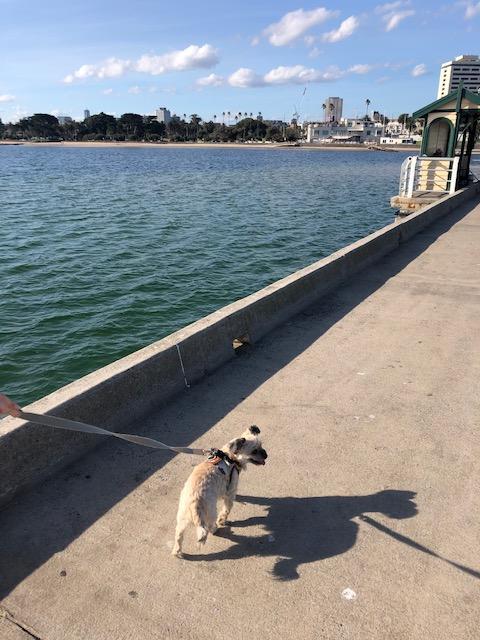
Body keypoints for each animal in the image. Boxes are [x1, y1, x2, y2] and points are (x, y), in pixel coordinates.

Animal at [172, 424, 266, 556]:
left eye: (261, 446)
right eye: (254, 451)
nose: (266, 455)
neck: (230, 457)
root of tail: (195, 501)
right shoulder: (230, 491)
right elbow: (226, 510)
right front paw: (222, 521)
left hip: (182, 519)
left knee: (179, 536)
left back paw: (177, 551)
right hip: (210, 513)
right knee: (209, 527)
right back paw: (215, 528)